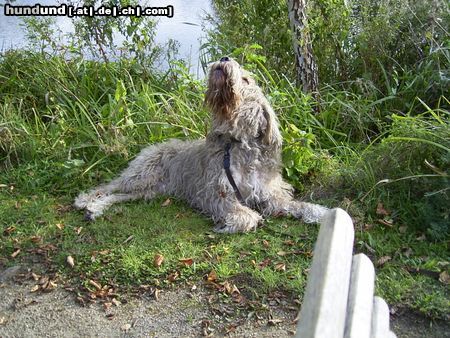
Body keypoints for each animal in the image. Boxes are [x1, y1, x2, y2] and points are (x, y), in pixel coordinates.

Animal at [74, 57, 326, 232]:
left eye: (246, 80)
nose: (224, 57)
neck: (238, 144)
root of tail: (154, 147)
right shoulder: (215, 193)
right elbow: (249, 216)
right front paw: (231, 223)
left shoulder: (268, 194)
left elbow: (297, 205)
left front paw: (321, 213)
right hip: (143, 175)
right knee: (109, 186)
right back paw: (86, 201)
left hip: (152, 190)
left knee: (120, 195)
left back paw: (95, 208)